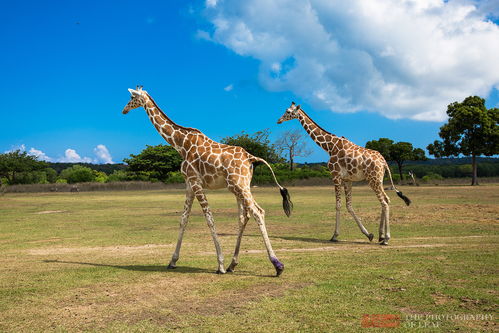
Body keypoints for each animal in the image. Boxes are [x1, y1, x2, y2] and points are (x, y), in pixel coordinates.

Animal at [122, 86, 292, 274]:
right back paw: (233, 264)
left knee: (258, 212)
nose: (124, 110)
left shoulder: (195, 182)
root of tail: (251, 158)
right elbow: (183, 220)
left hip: (239, 185)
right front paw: (172, 261)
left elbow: (209, 219)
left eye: (131, 97)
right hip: (239, 186)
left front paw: (220, 265)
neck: (181, 144)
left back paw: (277, 265)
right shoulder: (189, 184)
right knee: (244, 216)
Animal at [278, 102, 410, 245]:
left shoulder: (335, 176)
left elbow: (338, 205)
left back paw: (386, 238)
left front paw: (335, 236)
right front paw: (369, 234)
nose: (278, 120)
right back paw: (381, 236)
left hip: (373, 180)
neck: (329, 146)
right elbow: (349, 205)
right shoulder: (348, 179)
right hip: (378, 180)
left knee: (384, 202)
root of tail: (384, 161)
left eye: (288, 111)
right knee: (387, 200)